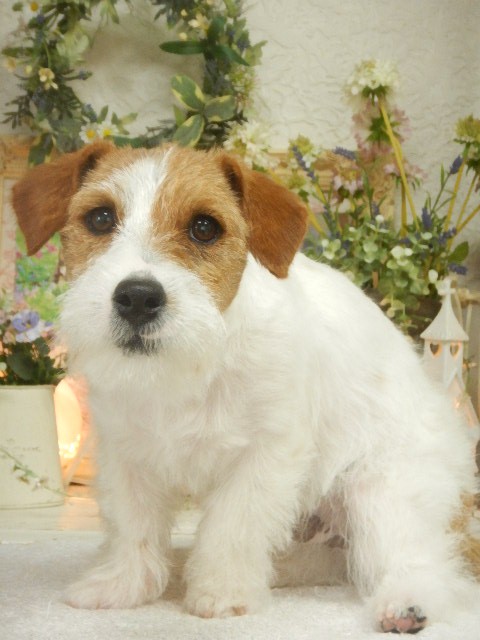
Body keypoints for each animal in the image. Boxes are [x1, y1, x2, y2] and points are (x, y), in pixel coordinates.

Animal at [12, 141, 477, 633]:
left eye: (204, 227)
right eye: (100, 218)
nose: (138, 297)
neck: (192, 363)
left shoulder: (264, 456)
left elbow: (233, 528)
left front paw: (221, 593)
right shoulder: (128, 455)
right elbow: (132, 526)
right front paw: (124, 585)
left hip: (382, 492)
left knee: (425, 564)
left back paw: (405, 604)